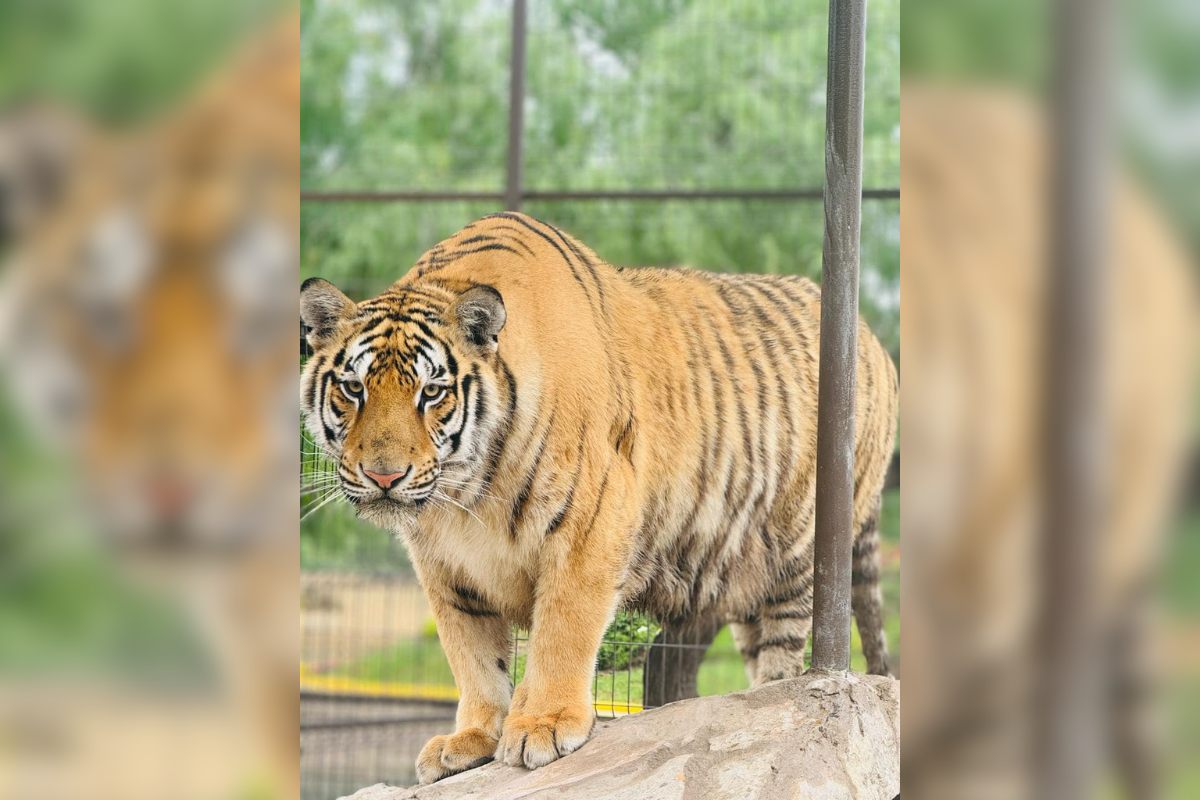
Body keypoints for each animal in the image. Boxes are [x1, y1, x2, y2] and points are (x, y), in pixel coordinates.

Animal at [300, 209, 902, 786]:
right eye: (353, 388)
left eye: (432, 392)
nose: (383, 477)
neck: (465, 495)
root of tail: (870, 336)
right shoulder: (444, 565)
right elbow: (471, 652)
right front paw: (473, 737)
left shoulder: (593, 516)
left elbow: (562, 627)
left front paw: (542, 724)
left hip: (799, 554)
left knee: (783, 665)